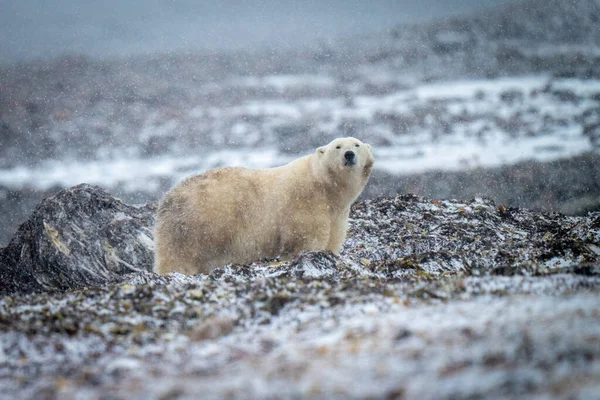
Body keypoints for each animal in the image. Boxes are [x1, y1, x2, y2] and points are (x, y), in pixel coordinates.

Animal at [152, 138, 372, 276]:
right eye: (337, 146)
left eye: (357, 144)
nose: (349, 154)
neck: (324, 186)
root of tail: (167, 199)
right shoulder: (305, 203)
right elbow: (304, 239)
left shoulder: (337, 213)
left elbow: (332, 239)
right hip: (192, 226)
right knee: (178, 255)